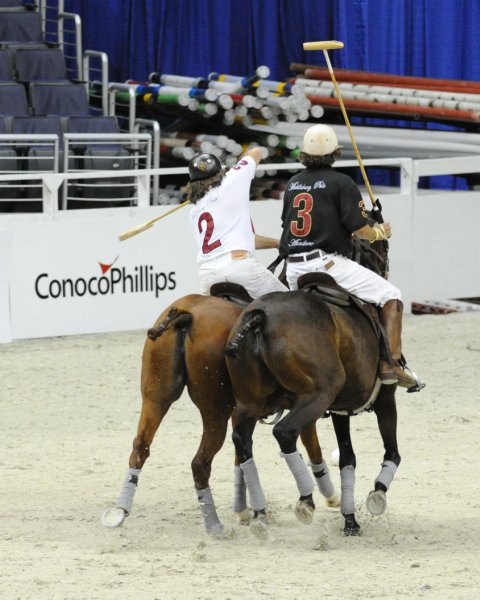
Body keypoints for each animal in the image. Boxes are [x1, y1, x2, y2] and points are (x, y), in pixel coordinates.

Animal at [101, 292, 338, 536]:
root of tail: (188, 314)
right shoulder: (303, 406)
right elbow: (312, 448)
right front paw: (327, 497)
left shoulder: (244, 413)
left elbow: (241, 459)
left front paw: (245, 510)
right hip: (215, 413)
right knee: (200, 463)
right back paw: (215, 526)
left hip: (157, 398)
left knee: (141, 446)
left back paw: (120, 509)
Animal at [224, 276, 402, 536]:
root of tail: (260, 316)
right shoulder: (385, 398)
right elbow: (392, 453)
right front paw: (377, 494)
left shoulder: (341, 409)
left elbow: (347, 459)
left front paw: (350, 520)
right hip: (319, 394)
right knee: (284, 432)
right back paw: (305, 499)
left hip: (250, 402)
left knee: (242, 439)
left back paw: (259, 512)